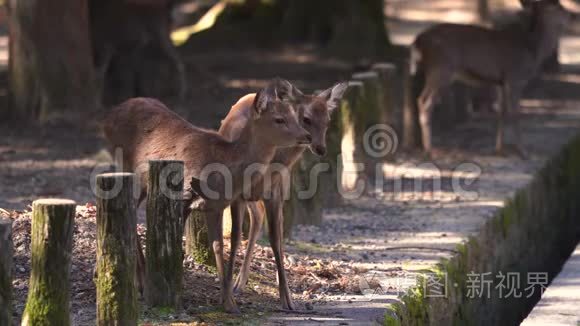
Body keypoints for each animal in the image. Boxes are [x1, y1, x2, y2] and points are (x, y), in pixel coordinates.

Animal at [104, 79, 312, 314]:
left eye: (294, 115)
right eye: (279, 119)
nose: (306, 136)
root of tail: (108, 118)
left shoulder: (215, 205)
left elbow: (218, 246)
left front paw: (228, 302)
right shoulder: (184, 195)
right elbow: (177, 246)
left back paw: (141, 281)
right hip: (128, 171)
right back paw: (142, 283)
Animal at [215, 82, 346, 310]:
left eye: (328, 120)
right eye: (306, 118)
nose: (320, 147)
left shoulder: (274, 192)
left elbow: (275, 239)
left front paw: (287, 299)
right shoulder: (238, 193)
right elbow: (234, 237)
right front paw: (227, 296)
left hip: (282, 187)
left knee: (272, 224)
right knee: (255, 218)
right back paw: (238, 283)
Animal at [410, 0, 568, 158]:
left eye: (559, 4)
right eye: (555, 6)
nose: (571, 16)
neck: (532, 50)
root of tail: (417, 41)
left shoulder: (500, 82)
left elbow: (501, 113)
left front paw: (499, 150)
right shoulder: (514, 77)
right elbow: (515, 113)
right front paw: (523, 152)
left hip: (434, 71)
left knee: (420, 99)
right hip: (441, 69)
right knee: (425, 102)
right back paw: (429, 150)